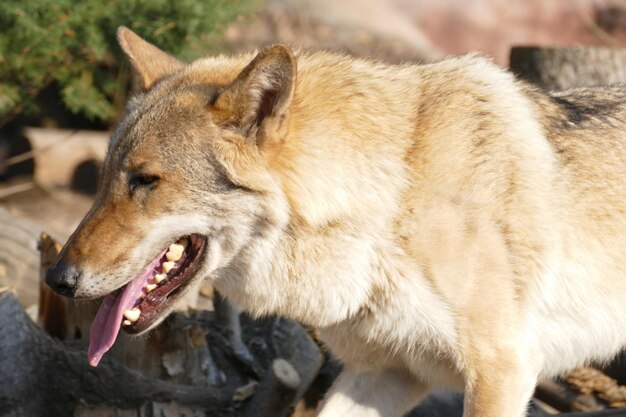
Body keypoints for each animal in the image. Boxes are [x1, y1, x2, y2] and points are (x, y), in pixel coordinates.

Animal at [45, 26, 626, 416]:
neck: (393, 197)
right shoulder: (385, 375)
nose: (56, 279)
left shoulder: (501, 369)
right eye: (103, 178)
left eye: (145, 180)